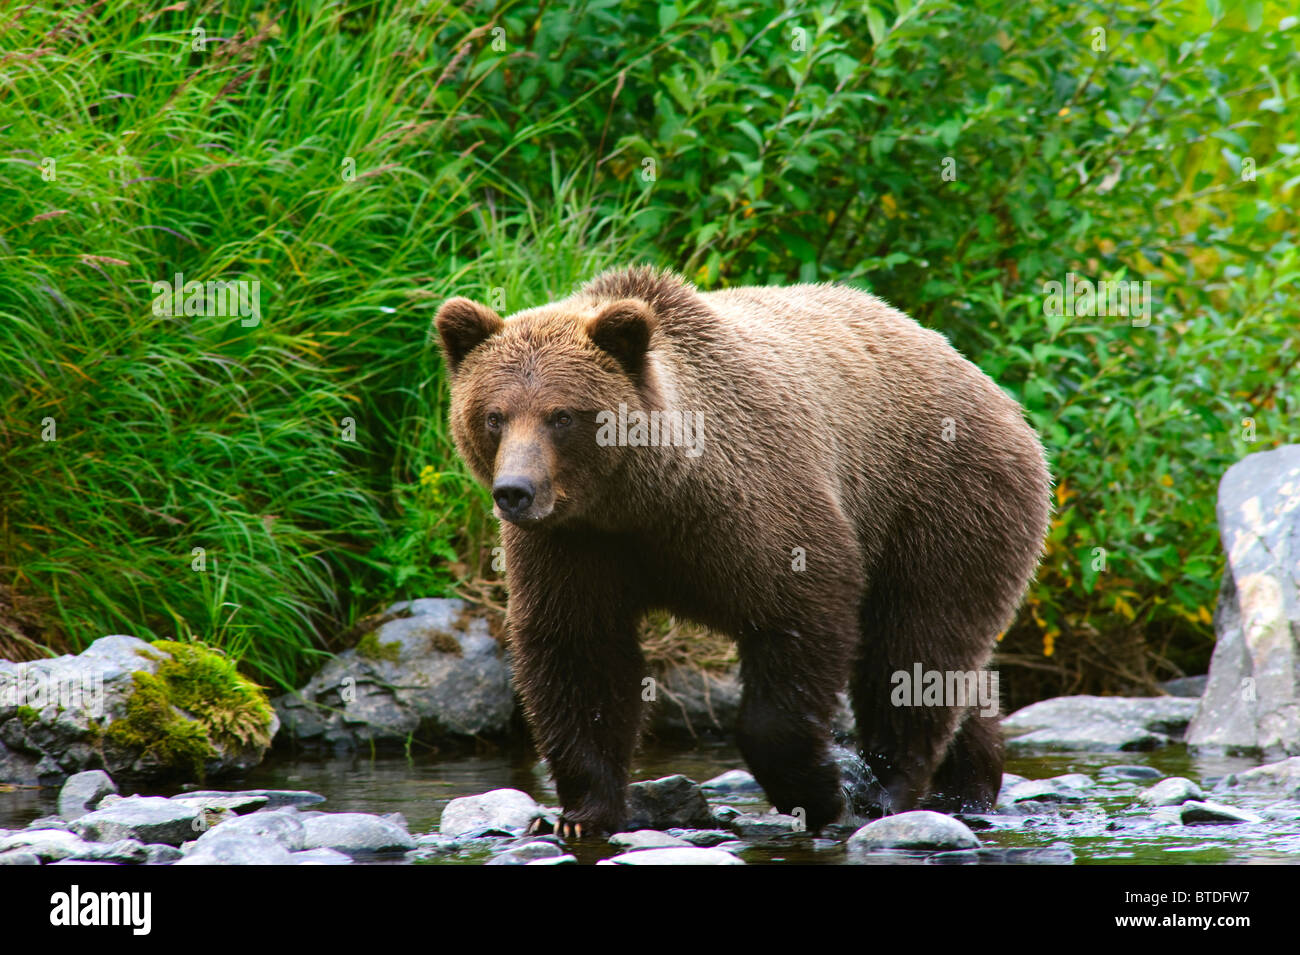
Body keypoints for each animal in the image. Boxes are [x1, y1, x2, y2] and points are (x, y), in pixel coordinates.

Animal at [434, 266, 1050, 837]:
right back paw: (968, 779)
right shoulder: (575, 544)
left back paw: (891, 786)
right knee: (951, 664)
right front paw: (582, 814)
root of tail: (994, 389)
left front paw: (821, 791)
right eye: (494, 415)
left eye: (561, 416)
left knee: (917, 640)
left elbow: (801, 620)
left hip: (940, 499)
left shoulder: (754, 507)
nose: (515, 491)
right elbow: (578, 651)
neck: (642, 498)